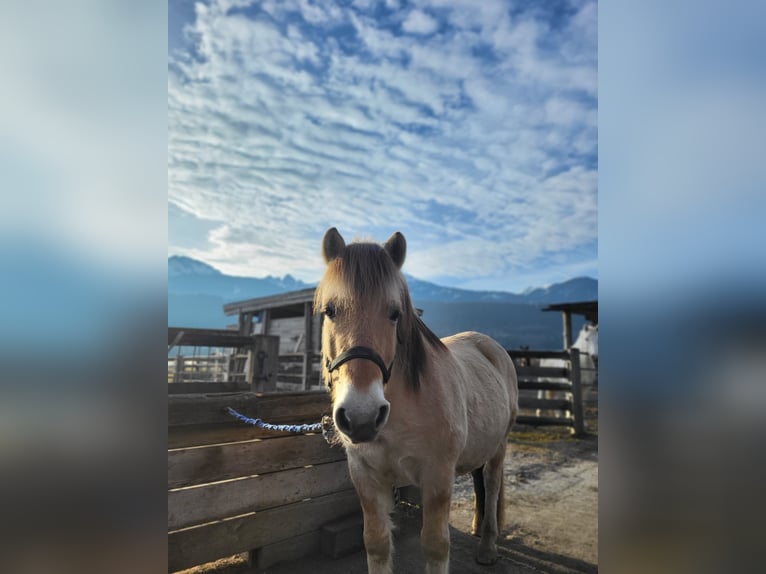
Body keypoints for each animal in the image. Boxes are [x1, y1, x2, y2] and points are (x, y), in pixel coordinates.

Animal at [316, 230, 520, 574]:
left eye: (395, 313)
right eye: (330, 310)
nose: (361, 416)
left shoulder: (438, 476)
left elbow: (435, 545)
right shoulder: (365, 477)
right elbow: (376, 542)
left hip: (499, 447)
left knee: (491, 487)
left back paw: (488, 547)